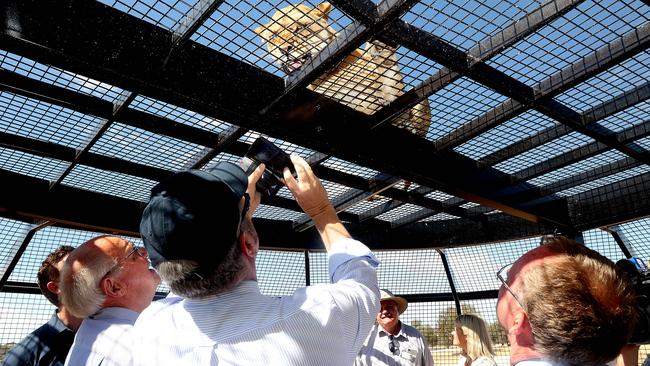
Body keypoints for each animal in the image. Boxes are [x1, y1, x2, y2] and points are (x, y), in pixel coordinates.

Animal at [253, 2, 430, 139]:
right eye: (273, 37)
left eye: (299, 28)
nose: (283, 49)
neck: (327, 76)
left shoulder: (395, 107)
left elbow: (391, 83)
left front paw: (380, 46)